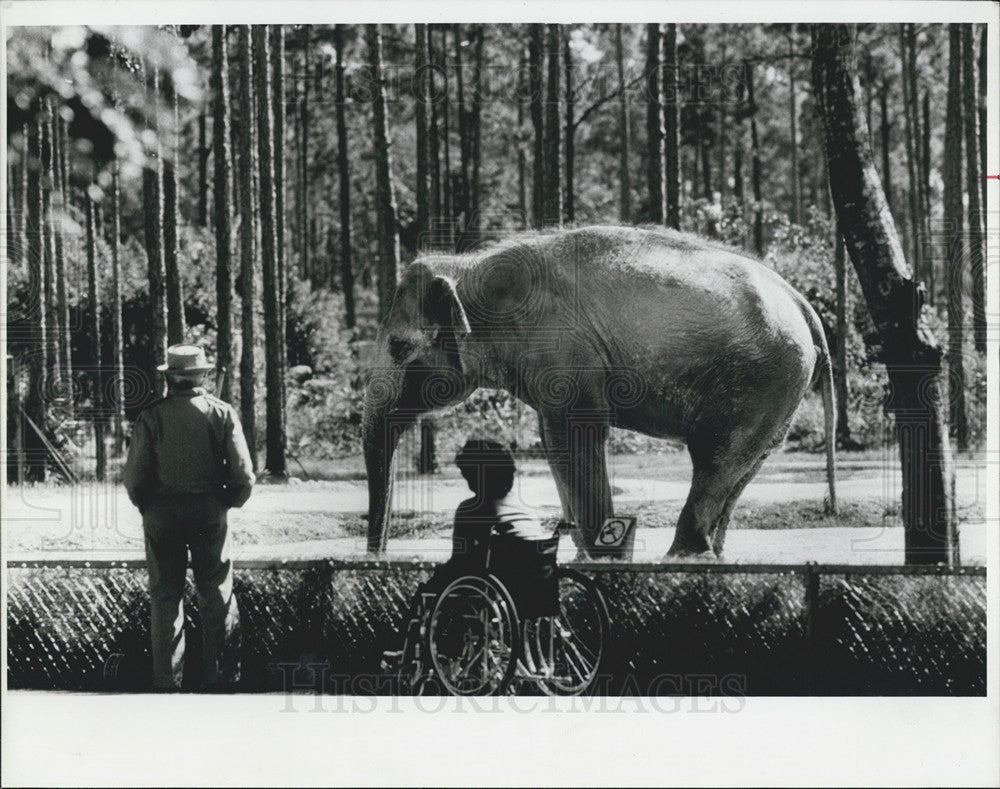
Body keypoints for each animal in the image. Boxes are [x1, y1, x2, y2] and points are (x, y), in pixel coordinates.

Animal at [362, 226, 836, 560]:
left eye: (398, 347)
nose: (376, 558)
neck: (471, 269)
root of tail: (802, 302)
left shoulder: (565, 352)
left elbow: (578, 436)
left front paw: (602, 556)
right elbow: (554, 445)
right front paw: (579, 553)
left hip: (763, 378)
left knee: (715, 457)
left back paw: (682, 557)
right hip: (780, 390)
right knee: (745, 464)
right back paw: (711, 555)